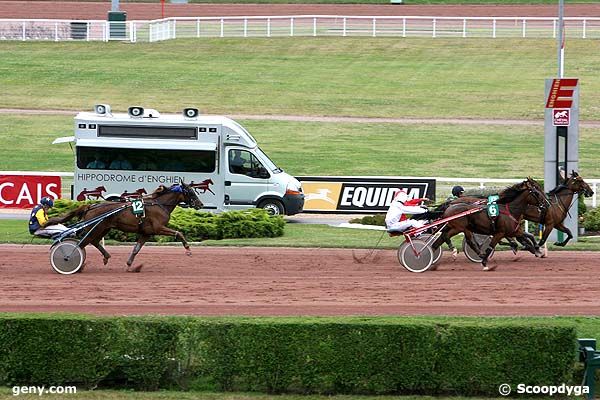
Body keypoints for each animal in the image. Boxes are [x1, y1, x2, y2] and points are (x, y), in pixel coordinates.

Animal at [48, 184, 203, 272]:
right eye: (190, 191)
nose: (200, 204)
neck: (159, 204)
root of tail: (90, 206)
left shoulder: (146, 233)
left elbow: (136, 249)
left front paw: (129, 265)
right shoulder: (158, 227)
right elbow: (179, 233)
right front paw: (188, 250)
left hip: (103, 228)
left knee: (93, 242)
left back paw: (105, 257)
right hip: (96, 228)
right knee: (82, 244)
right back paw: (69, 259)